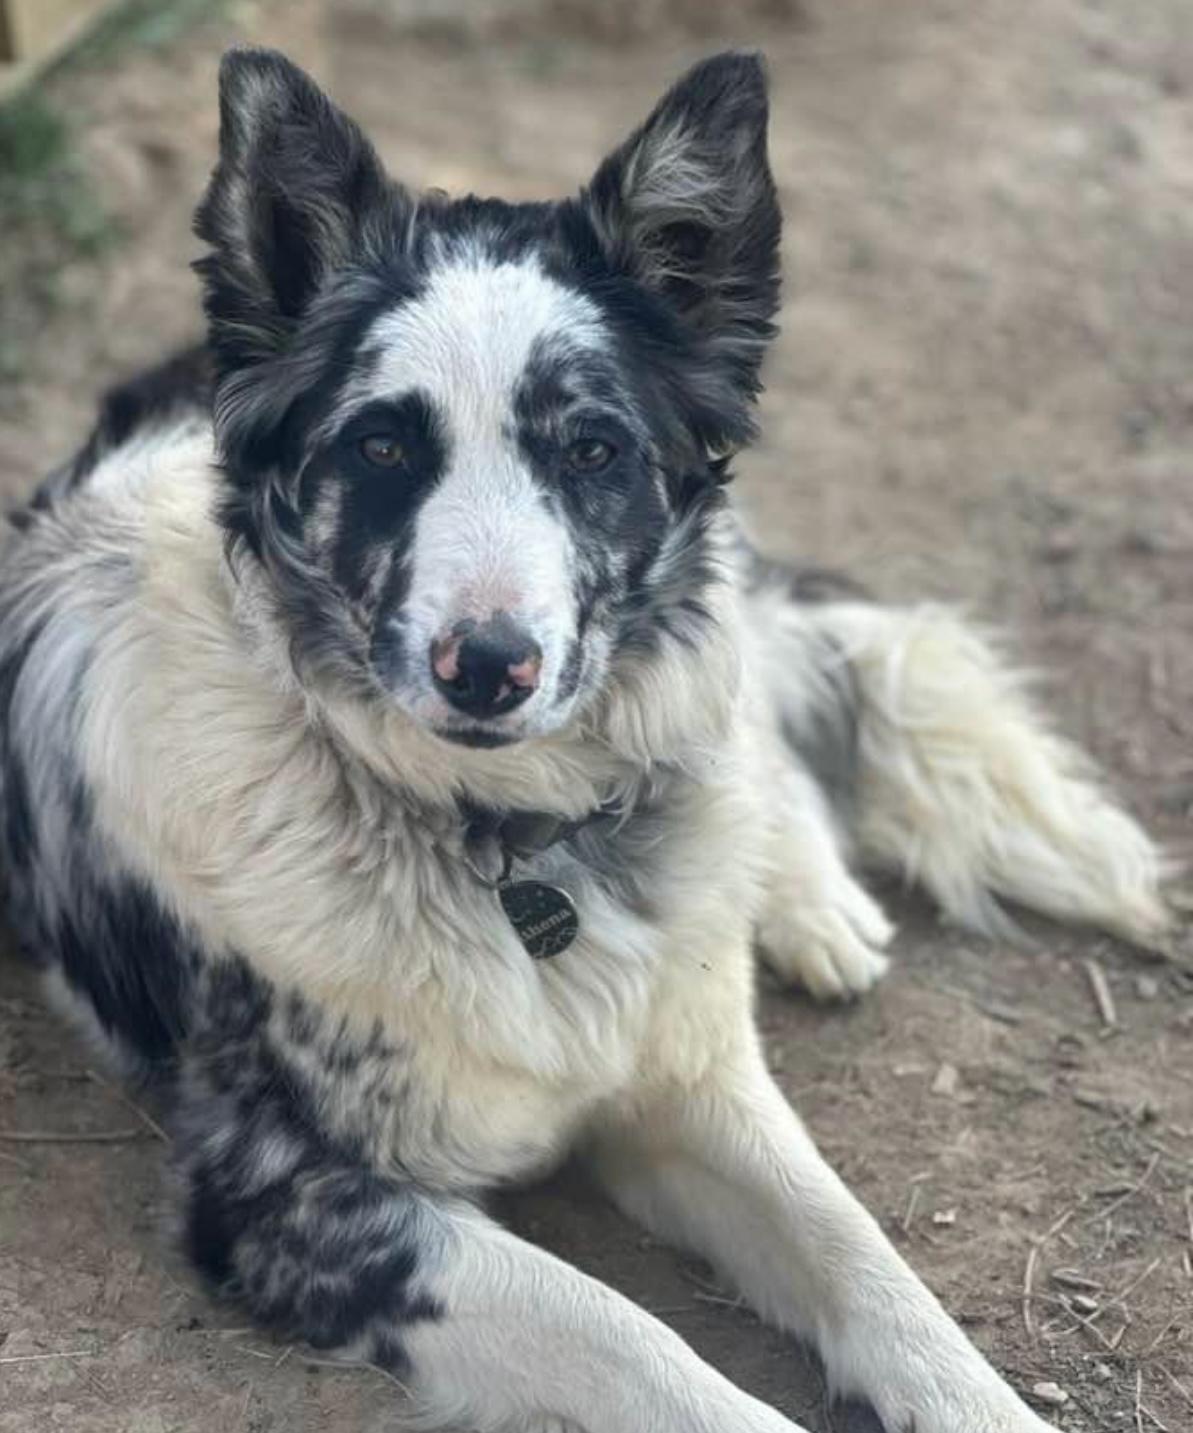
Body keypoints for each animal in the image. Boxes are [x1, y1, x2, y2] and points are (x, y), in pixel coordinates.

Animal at [0, 47, 1171, 1433]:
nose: (488, 663)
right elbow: (633, 1338)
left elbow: (869, 1264)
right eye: (380, 445)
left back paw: (808, 901)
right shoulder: (293, 1197)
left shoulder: (690, 1085)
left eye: (592, 446)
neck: (509, 842)